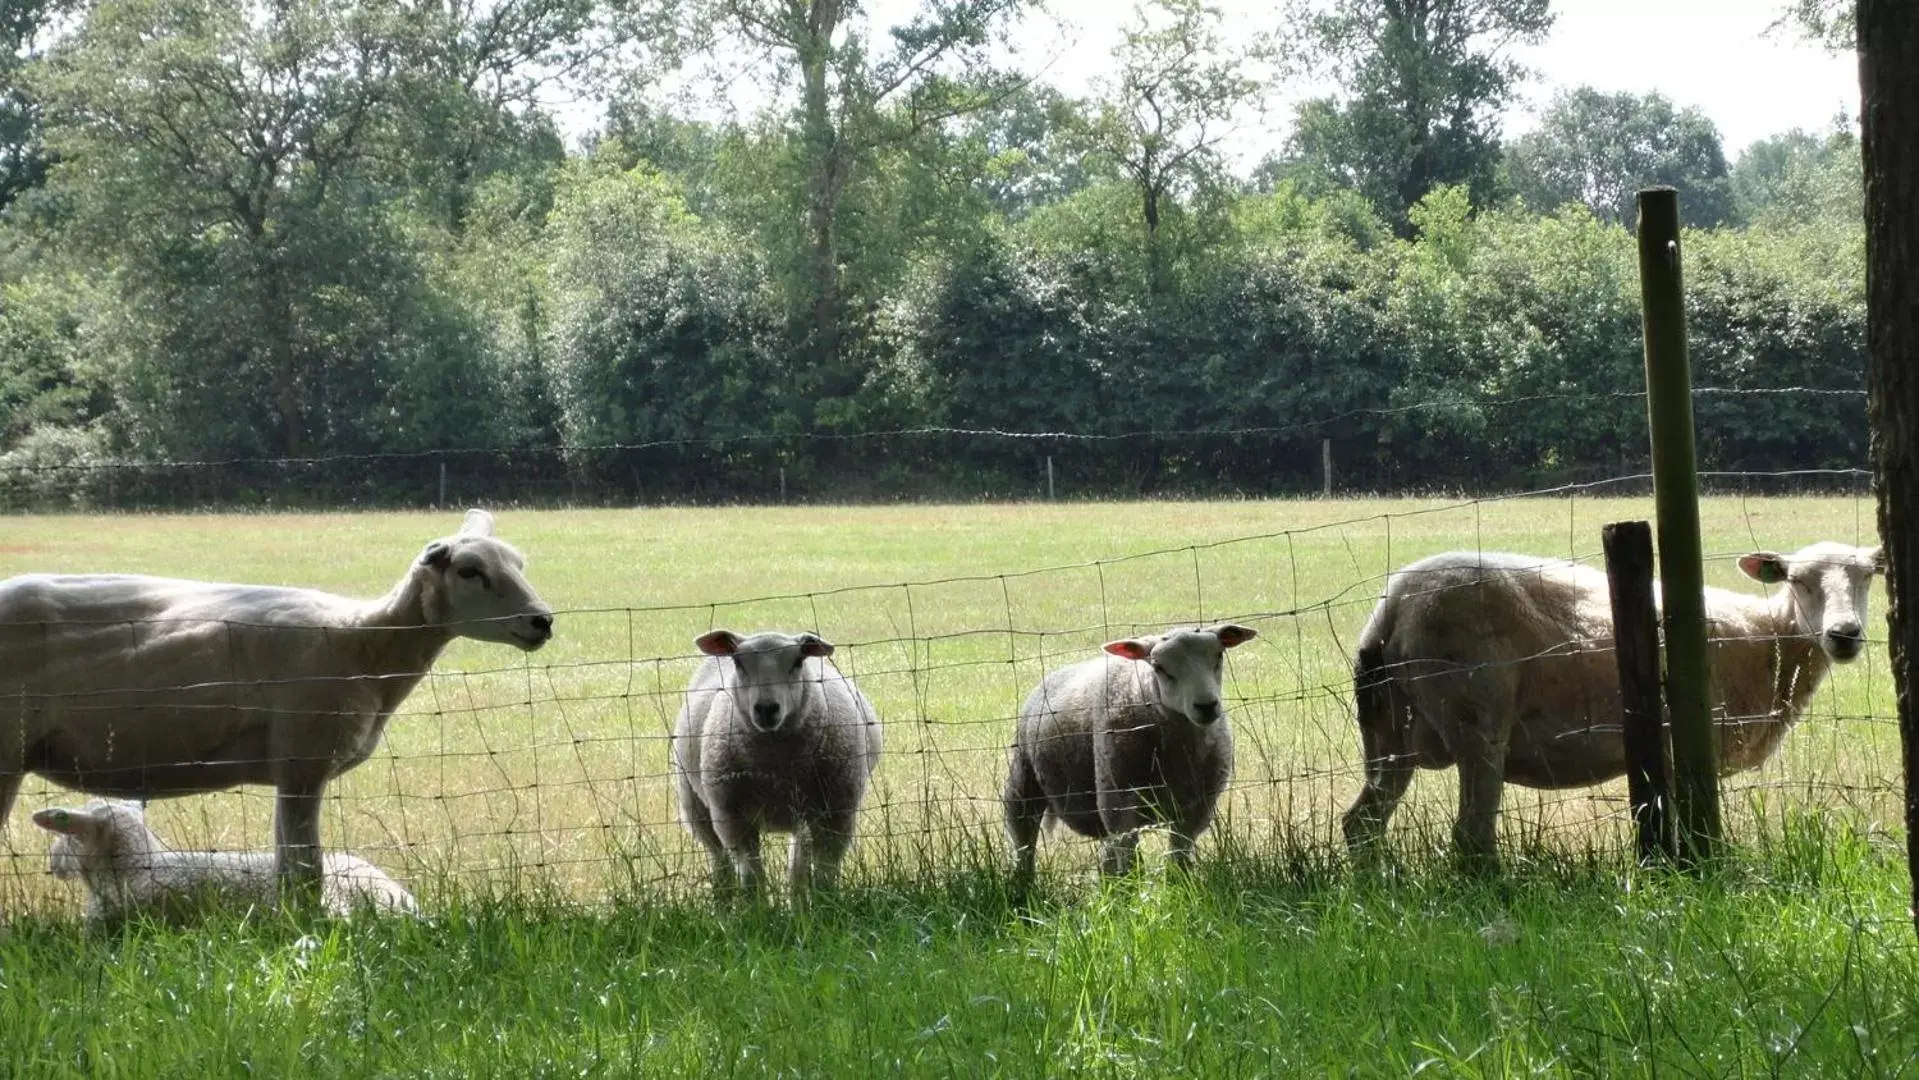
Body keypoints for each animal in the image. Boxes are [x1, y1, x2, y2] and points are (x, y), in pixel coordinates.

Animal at [1, 510, 556, 901]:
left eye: (520, 563)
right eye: (469, 571)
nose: (543, 621)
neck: (365, 645)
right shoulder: (302, 760)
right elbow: (303, 875)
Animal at [667, 629, 882, 901]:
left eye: (798, 661)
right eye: (738, 662)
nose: (766, 709)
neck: (777, 769)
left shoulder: (837, 815)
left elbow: (825, 877)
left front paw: (826, 906)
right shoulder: (732, 819)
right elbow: (752, 879)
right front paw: (757, 910)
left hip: (804, 816)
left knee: (796, 870)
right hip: (695, 804)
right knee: (720, 865)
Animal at [997, 625, 1266, 878]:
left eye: (1219, 655)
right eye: (1158, 667)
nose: (1207, 706)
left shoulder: (1197, 810)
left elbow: (1178, 859)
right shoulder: (1120, 807)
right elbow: (1131, 865)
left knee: (1105, 857)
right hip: (1024, 779)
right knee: (1023, 840)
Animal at [1343, 540, 1880, 870]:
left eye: (1867, 578)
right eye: (1797, 580)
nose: (1844, 634)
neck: (1769, 641)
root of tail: (1392, 606)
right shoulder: (1681, 746)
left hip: (1387, 729)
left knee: (1361, 824)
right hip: (1476, 719)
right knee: (1471, 833)